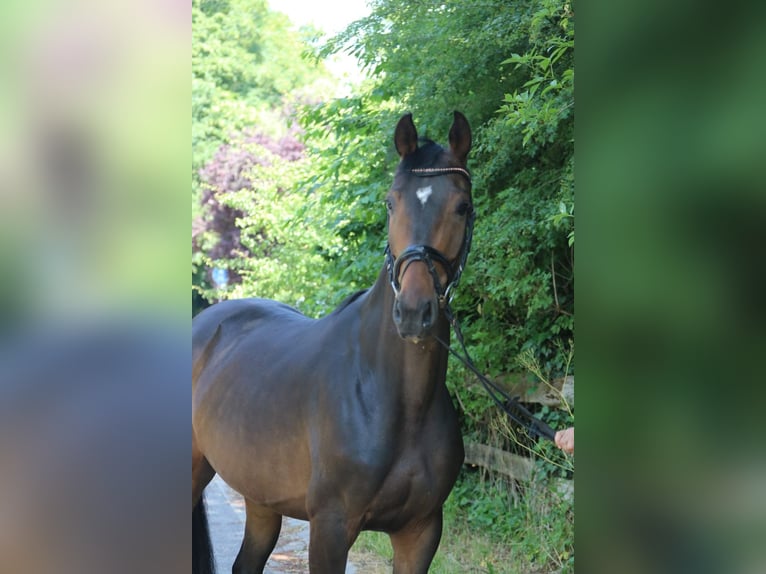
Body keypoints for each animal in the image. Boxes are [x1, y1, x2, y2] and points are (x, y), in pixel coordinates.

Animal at [194, 112, 474, 574]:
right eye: (391, 202)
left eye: (462, 207)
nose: (414, 312)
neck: (396, 400)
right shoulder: (330, 525)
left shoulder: (421, 532)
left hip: (261, 497)